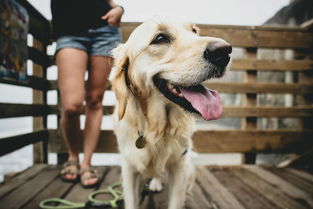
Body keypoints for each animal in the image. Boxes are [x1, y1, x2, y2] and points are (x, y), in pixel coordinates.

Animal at [111, 16, 230, 209]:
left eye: (194, 31)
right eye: (160, 38)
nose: (224, 50)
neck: (157, 128)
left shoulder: (180, 167)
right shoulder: (129, 168)